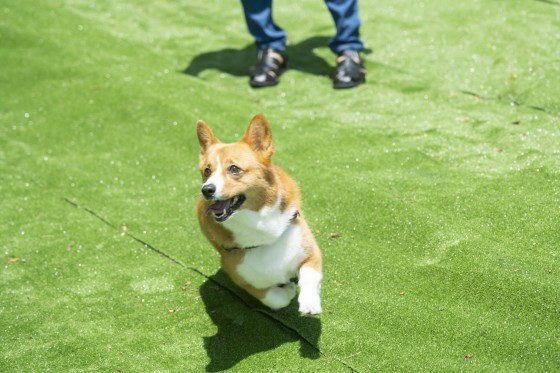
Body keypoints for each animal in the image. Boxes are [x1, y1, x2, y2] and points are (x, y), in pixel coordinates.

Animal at [197, 113, 322, 314]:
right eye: (207, 171)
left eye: (234, 168)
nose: (206, 190)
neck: (259, 223)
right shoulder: (242, 277)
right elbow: (275, 298)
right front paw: (288, 289)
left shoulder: (311, 253)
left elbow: (310, 275)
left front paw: (310, 303)